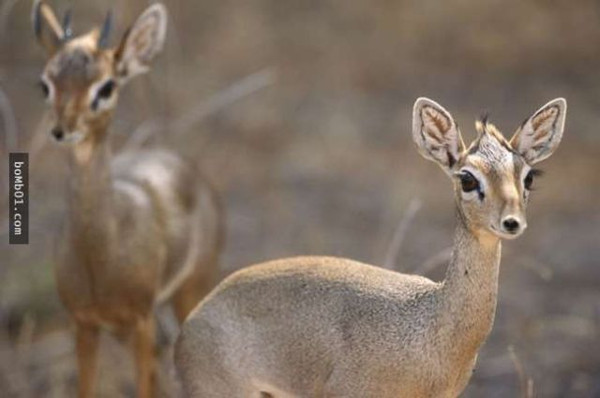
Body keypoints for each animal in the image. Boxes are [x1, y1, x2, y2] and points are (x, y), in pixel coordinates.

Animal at [31, 1, 223, 396]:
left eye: (106, 86)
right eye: (46, 83)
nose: (62, 130)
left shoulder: (140, 318)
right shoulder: (84, 323)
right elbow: (86, 388)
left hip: (191, 290)